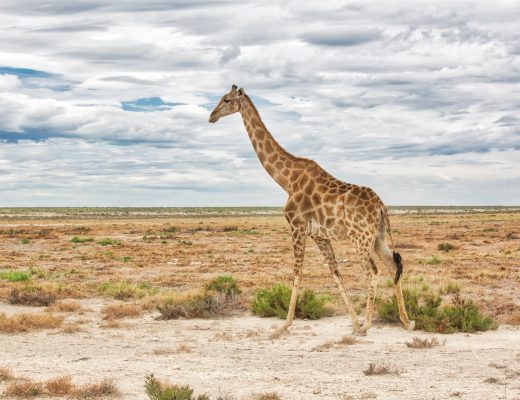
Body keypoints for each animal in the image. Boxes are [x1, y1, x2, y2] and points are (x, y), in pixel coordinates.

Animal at [207, 86, 414, 336]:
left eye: (227, 100)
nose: (212, 116)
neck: (287, 180)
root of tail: (382, 207)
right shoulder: (319, 235)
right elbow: (336, 273)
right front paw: (354, 323)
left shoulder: (296, 227)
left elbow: (297, 273)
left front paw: (284, 325)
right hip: (378, 238)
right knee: (394, 266)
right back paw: (406, 322)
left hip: (360, 238)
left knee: (374, 271)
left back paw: (368, 325)